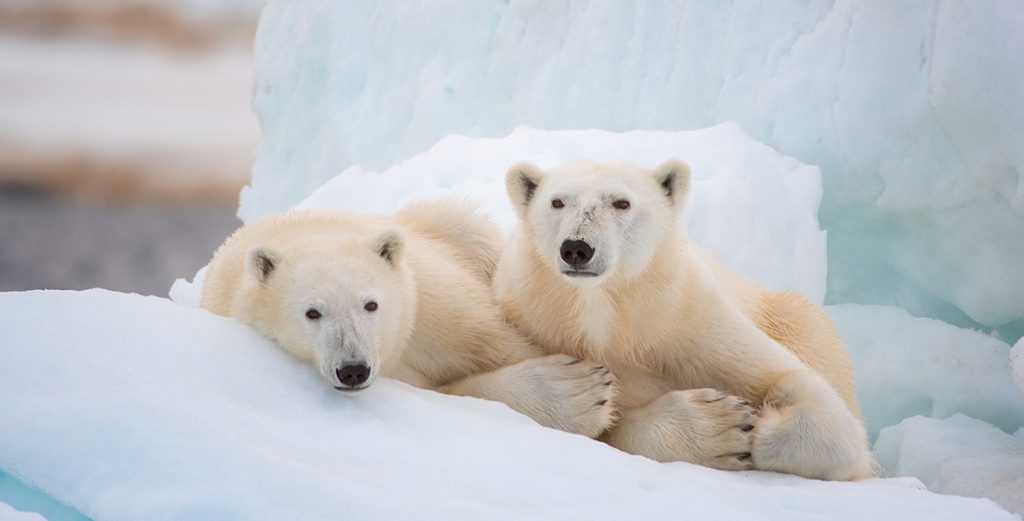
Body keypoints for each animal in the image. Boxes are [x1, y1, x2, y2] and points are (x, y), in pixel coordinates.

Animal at [200, 198, 615, 438]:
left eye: (371, 304)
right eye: (312, 313)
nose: (353, 369)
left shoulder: (432, 303)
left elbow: (502, 343)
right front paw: (580, 392)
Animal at [494, 159, 875, 480]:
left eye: (622, 203)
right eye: (557, 202)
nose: (577, 248)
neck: (608, 315)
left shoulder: (687, 320)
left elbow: (792, 382)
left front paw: (759, 425)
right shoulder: (539, 323)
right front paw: (721, 426)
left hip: (792, 319)